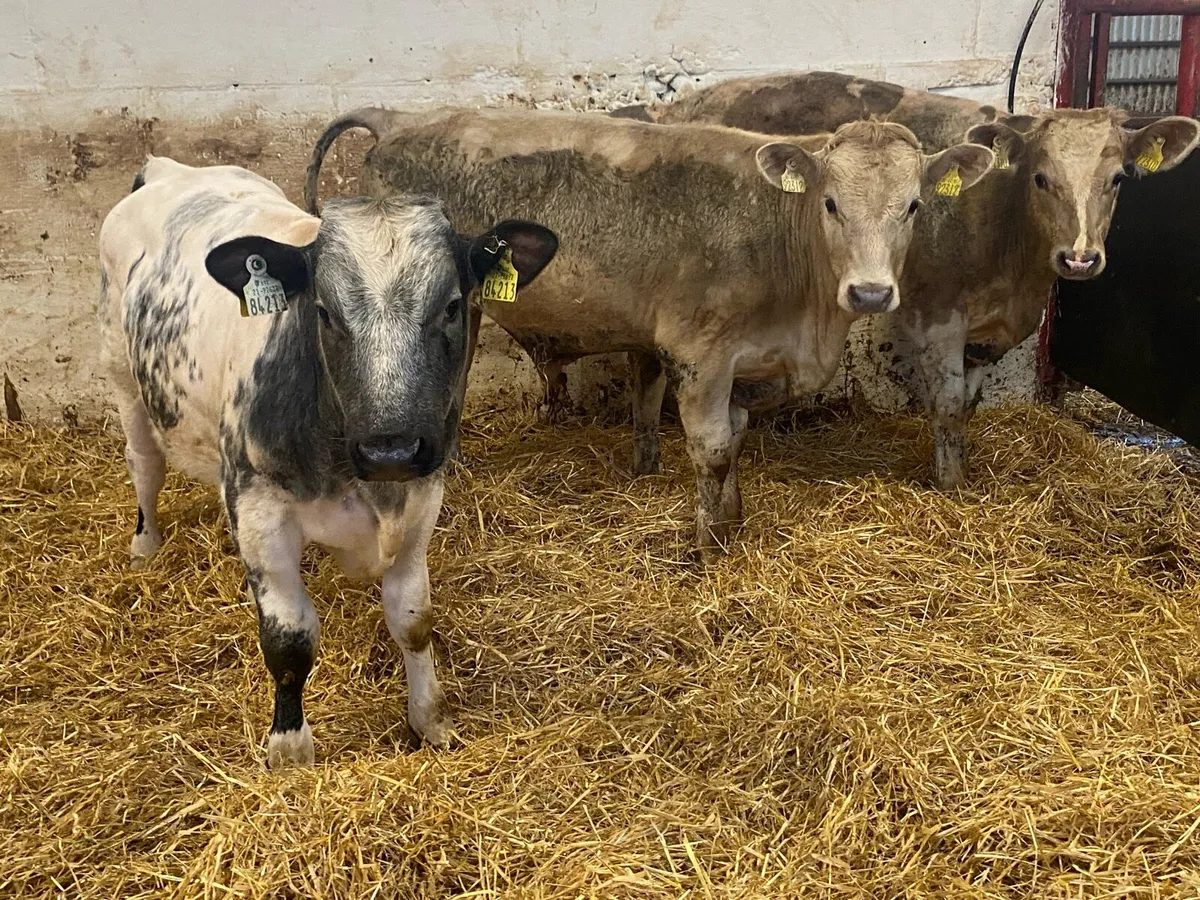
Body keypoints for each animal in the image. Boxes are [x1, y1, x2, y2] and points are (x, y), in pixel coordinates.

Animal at [99, 156, 558, 767]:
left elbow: (413, 620)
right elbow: (288, 641)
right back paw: (144, 546)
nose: (391, 448)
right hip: (123, 375)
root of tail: (170, 168)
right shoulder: (261, 512)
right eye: (322, 311)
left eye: (453, 306)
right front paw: (290, 751)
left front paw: (430, 720)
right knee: (144, 463)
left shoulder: (422, 501)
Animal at [304, 107, 994, 556]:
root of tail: (401, 121)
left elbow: (730, 439)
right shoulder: (700, 353)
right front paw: (710, 547)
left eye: (913, 206)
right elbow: (711, 449)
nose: (871, 292)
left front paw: (731, 521)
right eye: (830, 204)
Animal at [616, 71, 1200, 489]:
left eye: (1118, 178)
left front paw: (961, 472)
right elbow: (947, 405)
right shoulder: (936, 316)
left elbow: (967, 406)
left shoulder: (985, 337)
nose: (1079, 259)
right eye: (1040, 177)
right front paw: (949, 485)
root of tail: (668, 110)